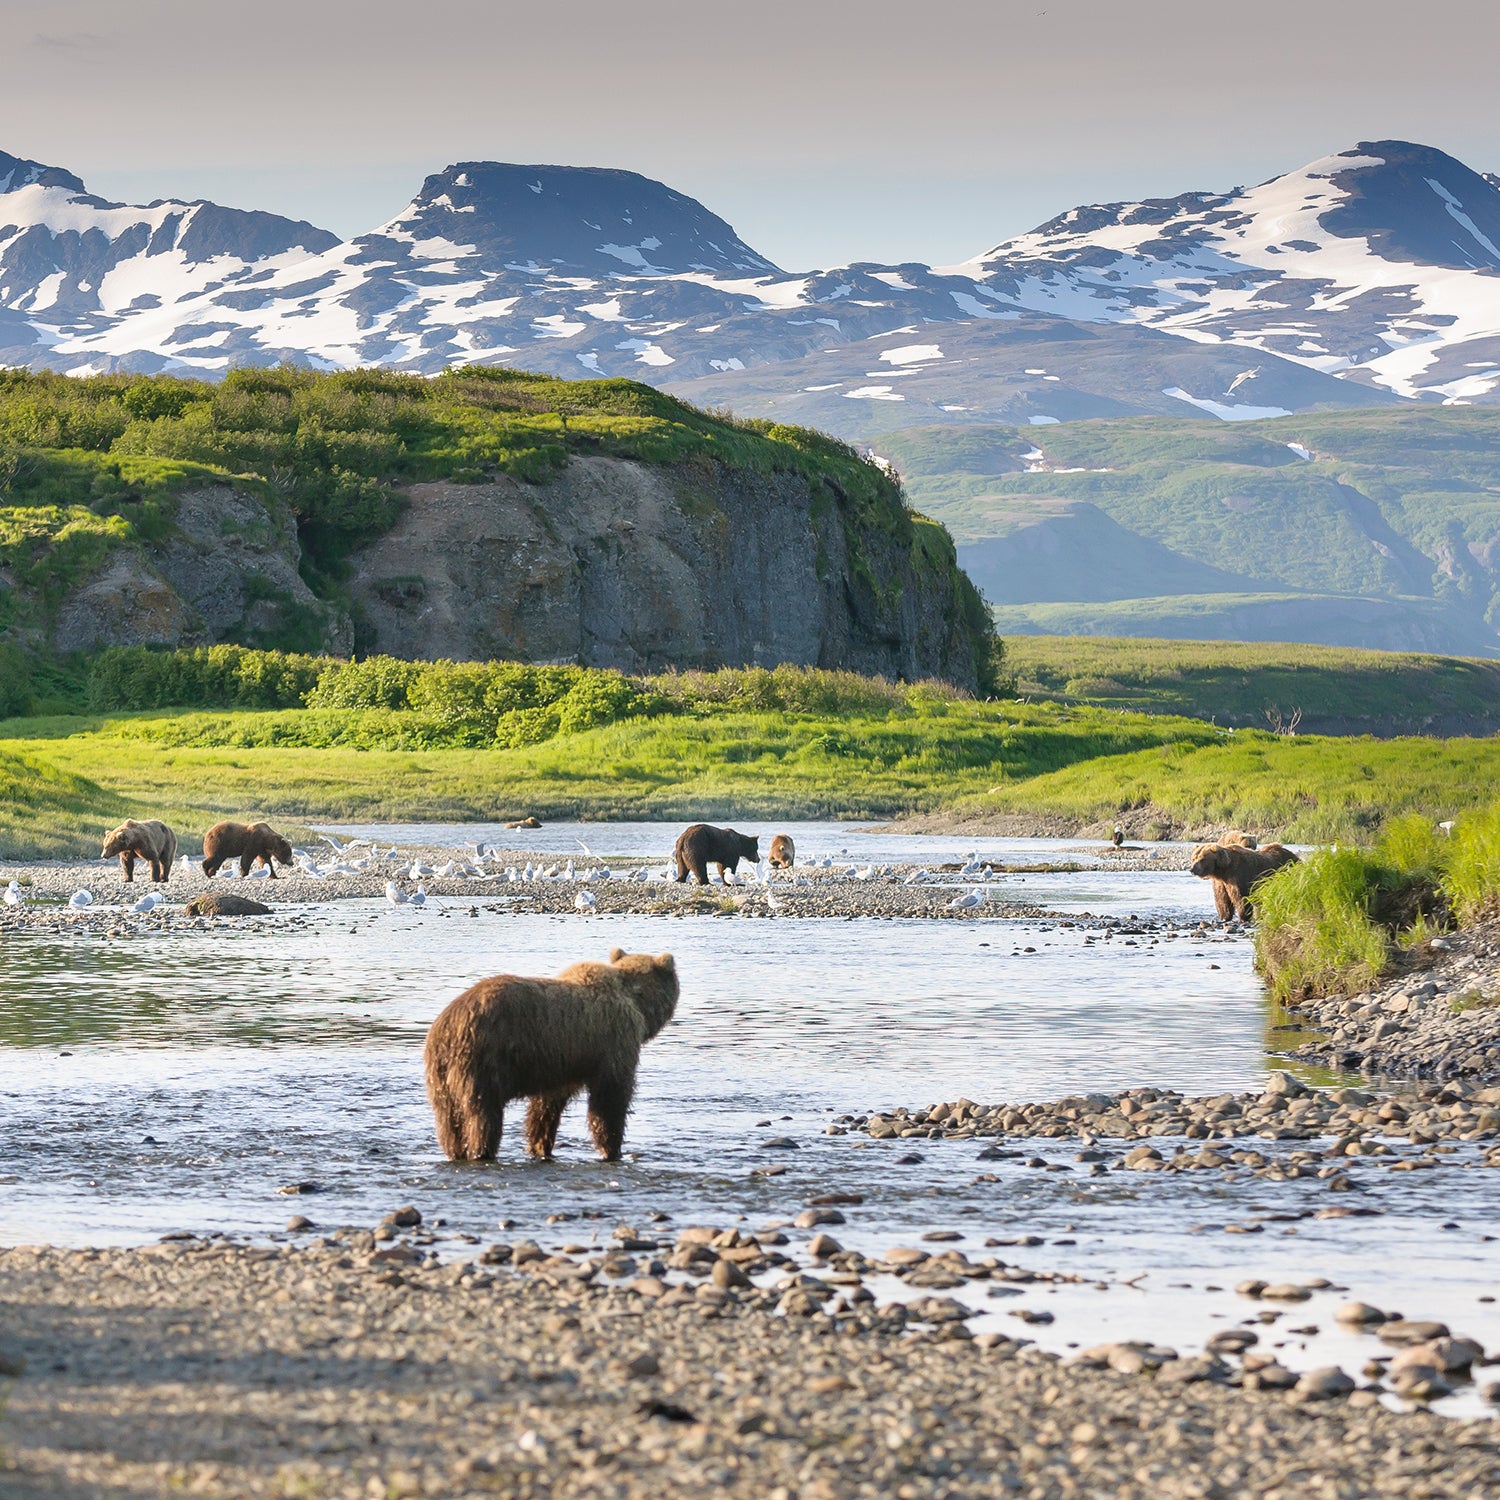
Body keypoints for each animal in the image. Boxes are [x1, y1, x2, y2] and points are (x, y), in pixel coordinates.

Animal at [423, 942, 681, 1164]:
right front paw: (612, 1150)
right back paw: (482, 1151)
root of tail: (447, 1026)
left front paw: (540, 1146)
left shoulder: (561, 1064)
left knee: (448, 1121)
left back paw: (455, 1152)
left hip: (440, 1076)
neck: (636, 1001)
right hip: (483, 1060)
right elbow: (610, 1098)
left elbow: (546, 1107)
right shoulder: (614, 1042)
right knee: (482, 1116)